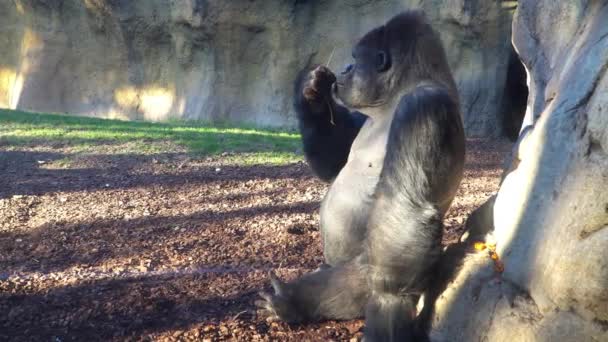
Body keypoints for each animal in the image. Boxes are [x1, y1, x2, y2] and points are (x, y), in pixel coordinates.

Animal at [256, 10, 466, 342]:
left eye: (356, 58)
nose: (345, 67)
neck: (393, 96)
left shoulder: (421, 108)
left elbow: (406, 205)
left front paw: (389, 306)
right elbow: (334, 162)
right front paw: (312, 97)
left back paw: (296, 302)